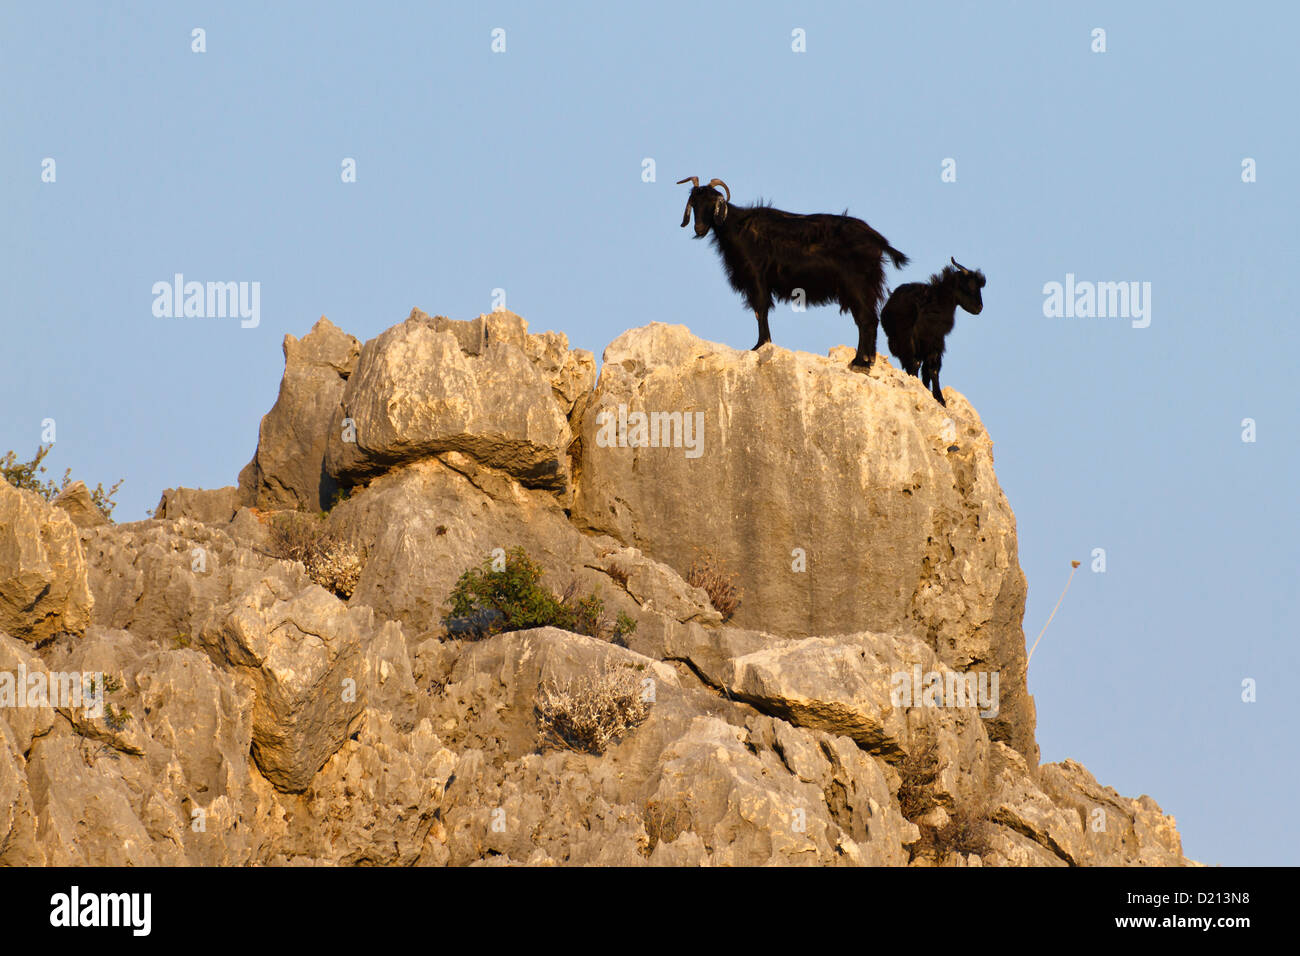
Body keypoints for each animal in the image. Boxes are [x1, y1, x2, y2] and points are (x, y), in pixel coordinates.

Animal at [676, 175, 909, 369]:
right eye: (694, 204)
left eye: (712, 204)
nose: (698, 229)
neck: (737, 226)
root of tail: (877, 239)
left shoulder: (756, 276)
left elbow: (761, 309)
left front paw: (760, 345)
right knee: (869, 319)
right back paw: (867, 361)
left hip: (856, 284)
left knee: (865, 319)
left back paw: (860, 362)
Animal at [878, 256, 987, 405]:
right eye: (967, 285)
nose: (979, 307)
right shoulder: (914, 338)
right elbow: (918, 364)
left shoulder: (936, 340)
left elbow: (933, 369)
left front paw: (939, 398)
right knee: (911, 362)